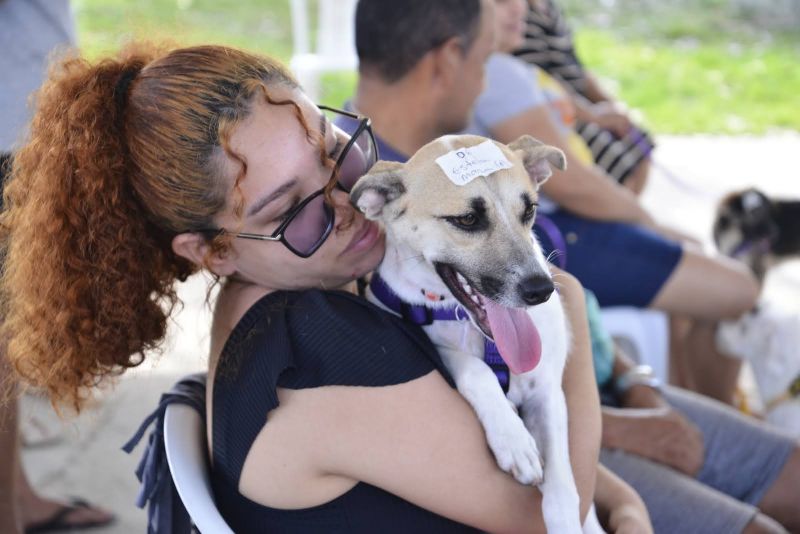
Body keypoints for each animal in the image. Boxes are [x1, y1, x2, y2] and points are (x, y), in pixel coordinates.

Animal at [354, 135, 596, 534]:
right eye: (467, 220)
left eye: (529, 210)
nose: (541, 290)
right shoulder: (433, 339)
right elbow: (474, 368)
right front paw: (514, 439)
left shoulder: (547, 392)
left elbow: (562, 484)